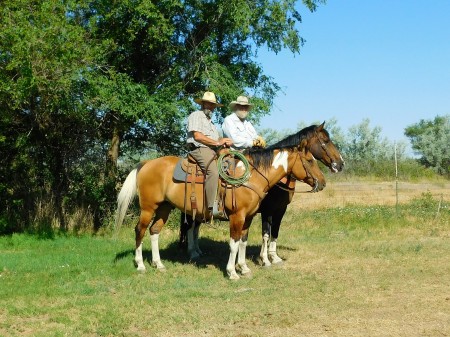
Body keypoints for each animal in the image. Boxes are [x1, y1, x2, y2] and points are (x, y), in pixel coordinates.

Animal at [114, 138, 326, 278]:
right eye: (310, 160)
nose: (323, 183)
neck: (251, 176)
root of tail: (146, 163)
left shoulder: (249, 217)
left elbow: (243, 242)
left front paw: (244, 268)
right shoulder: (238, 216)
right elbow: (233, 244)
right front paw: (232, 272)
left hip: (164, 208)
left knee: (154, 231)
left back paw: (158, 264)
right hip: (148, 208)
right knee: (140, 231)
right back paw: (141, 265)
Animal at [256, 122, 344, 266]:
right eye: (325, 140)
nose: (341, 163)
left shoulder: (281, 209)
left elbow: (275, 231)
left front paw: (274, 257)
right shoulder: (267, 211)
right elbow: (266, 234)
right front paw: (265, 259)